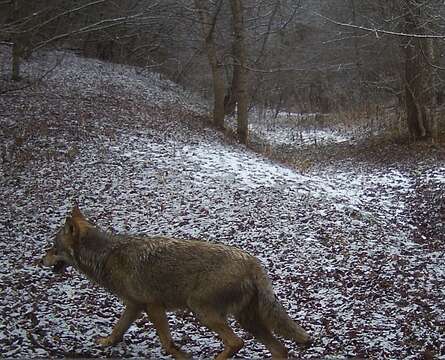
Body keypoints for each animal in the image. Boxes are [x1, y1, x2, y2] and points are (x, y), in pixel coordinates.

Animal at [42, 207, 312, 358]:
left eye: (53, 248)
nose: (39, 259)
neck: (107, 255)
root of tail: (253, 262)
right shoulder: (135, 305)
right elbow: (117, 329)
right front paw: (106, 343)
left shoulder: (153, 307)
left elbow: (168, 344)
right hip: (246, 321)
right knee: (280, 350)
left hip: (203, 311)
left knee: (237, 342)